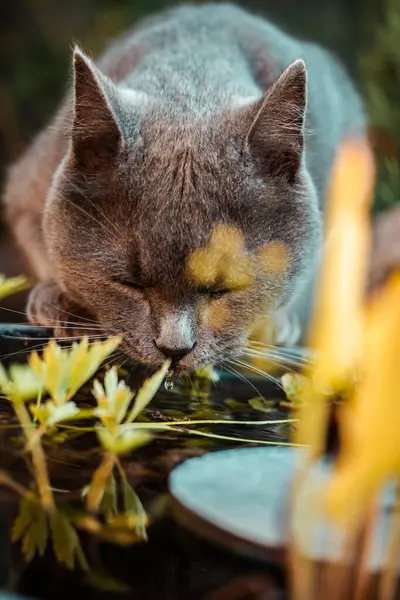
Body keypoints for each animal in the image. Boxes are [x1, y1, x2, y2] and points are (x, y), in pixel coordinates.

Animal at [3, 2, 366, 372]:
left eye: (226, 287)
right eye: (129, 283)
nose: (174, 349)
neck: (194, 81)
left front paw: (274, 323)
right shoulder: (24, 191)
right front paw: (58, 303)